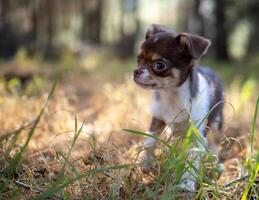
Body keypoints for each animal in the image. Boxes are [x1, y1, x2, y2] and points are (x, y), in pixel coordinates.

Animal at [133, 24, 224, 192]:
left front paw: (186, 184)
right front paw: (145, 163)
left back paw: (213, 163)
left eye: (159, 65)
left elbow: (191, 160)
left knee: (215, 143)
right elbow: (149, 141)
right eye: (138, 60)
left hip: (216, 123)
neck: (172, 95)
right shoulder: (157, 119)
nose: (136, 71)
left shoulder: (197, 135)